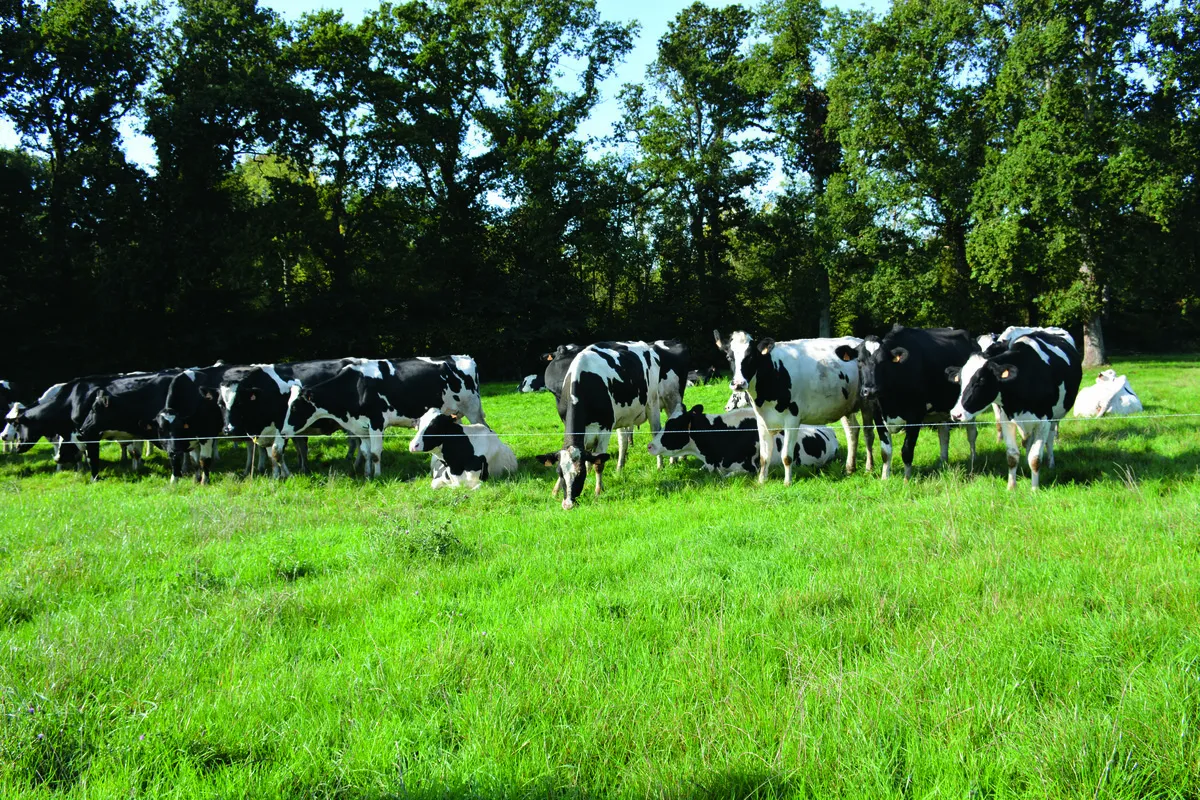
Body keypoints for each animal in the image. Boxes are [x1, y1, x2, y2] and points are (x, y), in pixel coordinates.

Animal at [278, 356, 486, 479]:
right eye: (287, 405)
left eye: (295, 407)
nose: (283, 430)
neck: (355, 386)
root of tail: (463, 357)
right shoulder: (360, 427)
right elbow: (365, 452)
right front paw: (367, 474)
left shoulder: (377, 422)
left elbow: (376, 453)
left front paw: (377, 476)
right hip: (453, 414)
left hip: (472, 409)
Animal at [536, 340, 683, 509]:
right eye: (559, 472)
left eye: (580, 475)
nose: (568, 505)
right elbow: (587, 455)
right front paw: (555, 491)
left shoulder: (605, 428)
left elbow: (599, 464)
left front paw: (598, 491)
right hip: (624, 416)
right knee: (623, 441)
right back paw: (620, 468)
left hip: (657, 402)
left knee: (656, 432)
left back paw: (662, 465)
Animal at [714, 329, 868, 484]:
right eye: (729, 356)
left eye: (751, 356)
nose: (738, 383)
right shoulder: (761, 420)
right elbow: (764, 456)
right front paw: (761, 481)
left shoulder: (792, 419)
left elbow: (787, 456)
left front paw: (787, 482)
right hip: (846, 407)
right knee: (852, 430)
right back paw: (850, 469)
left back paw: (868, 469)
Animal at [834, 325, 979, 481]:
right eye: (859, 361)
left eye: (883, 361)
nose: (870, 390)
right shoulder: (878, 415)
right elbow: (885, 452)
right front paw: (885, 478)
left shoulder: (915, 416)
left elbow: (907, 450)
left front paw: (906, 479)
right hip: (940, 410)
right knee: (944, 435)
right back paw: (943, 463)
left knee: (972, 434)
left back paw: (973, 464)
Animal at [948, 330, 1082, 490]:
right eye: (960, 380)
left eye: (981, 380)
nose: (956, 414)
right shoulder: (1007, 419)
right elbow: (1012, 456)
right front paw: (1011, 487)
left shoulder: (1044, 420)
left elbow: (1035, 458)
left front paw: (1034, 489)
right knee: (1027, 442)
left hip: (1055, 417)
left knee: (1049, 439)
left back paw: (1051, 464)